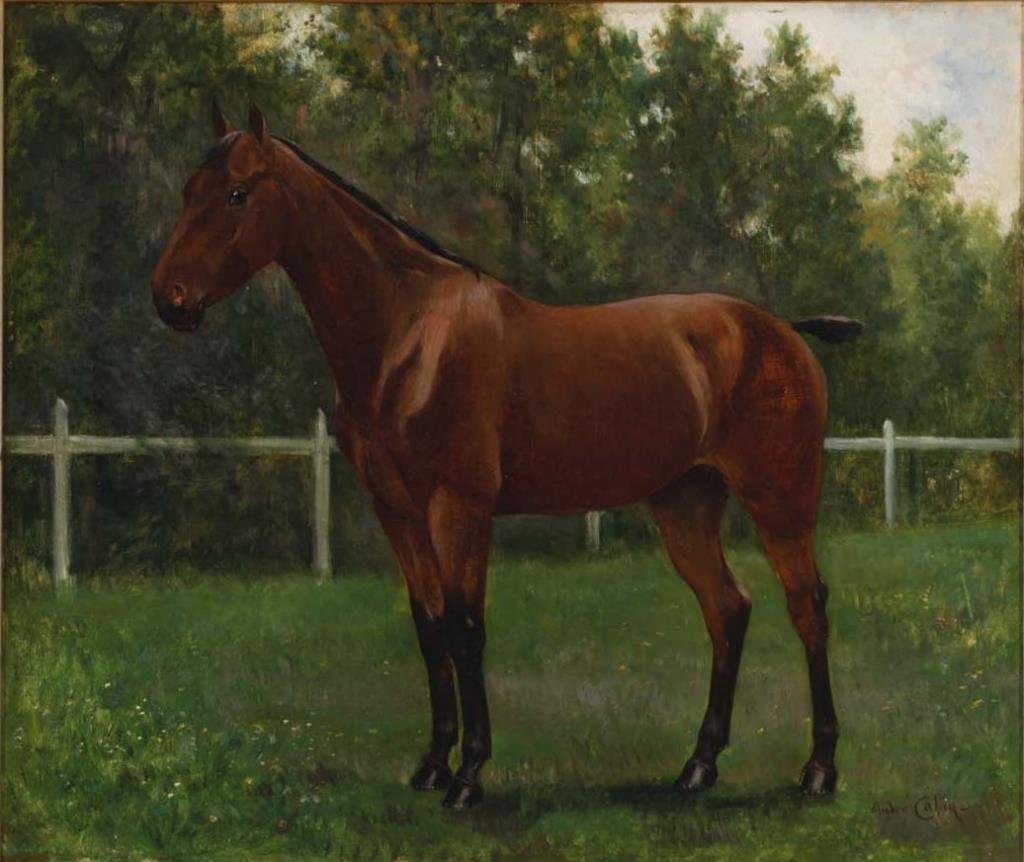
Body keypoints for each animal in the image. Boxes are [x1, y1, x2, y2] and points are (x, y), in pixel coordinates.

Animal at [152, 102, 863, 809]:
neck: (411, 338)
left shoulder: (460, 509)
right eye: (187, 190)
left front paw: (468, 775)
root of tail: (778, 329)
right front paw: (431, 765)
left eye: (237, 194)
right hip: (685, 506)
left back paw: (819, 769)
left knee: (807, 606)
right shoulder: (399, 513)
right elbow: (429, 627)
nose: (169, 298)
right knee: (727, 609)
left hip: (780, 500)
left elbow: (466, 630)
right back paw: (699, 765)